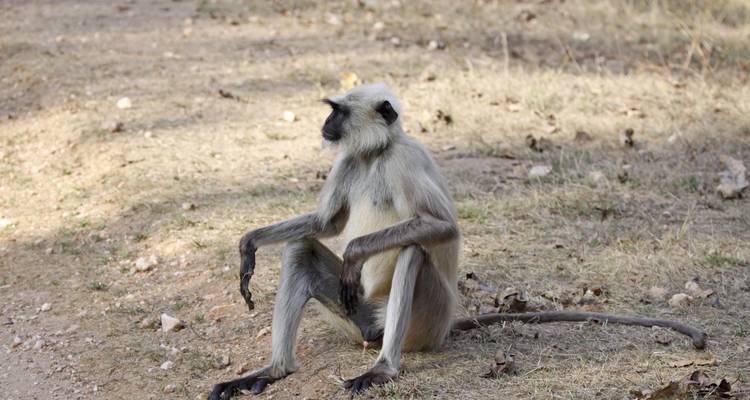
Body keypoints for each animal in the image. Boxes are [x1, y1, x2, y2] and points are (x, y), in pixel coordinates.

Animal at [208, 83, 706, 400]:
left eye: (339, 110)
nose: (326, 123)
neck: (377, 154)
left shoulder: (407, 160)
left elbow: (442, 227)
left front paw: (355, 253)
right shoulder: (349, 160)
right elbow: (324, 223)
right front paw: (249, 244)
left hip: (422, 324)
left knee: (412, 251)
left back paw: (384, 368)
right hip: (356, 318)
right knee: (301, 248)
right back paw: (276, 370)